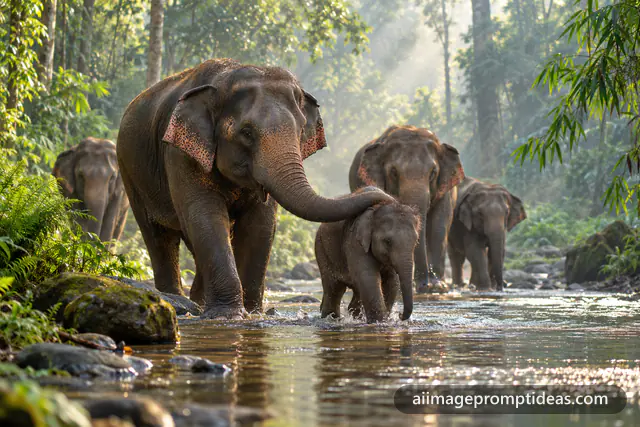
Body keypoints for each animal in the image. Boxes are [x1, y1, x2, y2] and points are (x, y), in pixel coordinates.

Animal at [116, 59, 394, 319]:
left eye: (300, 130)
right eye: (246, 132)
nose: (383, 197)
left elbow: (260, 224)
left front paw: (253, 312)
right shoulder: (179, 153)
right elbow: (204, 215)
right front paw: (227, 315)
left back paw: (196, 301)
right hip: (129, 171)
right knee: (158, 236)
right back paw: (176, 300)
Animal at [348, 125, 465, 292]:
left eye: (433, 173)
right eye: (394, 172)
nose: (425, 285)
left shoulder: (445, 191)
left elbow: (439, 226)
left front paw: (437, 287)